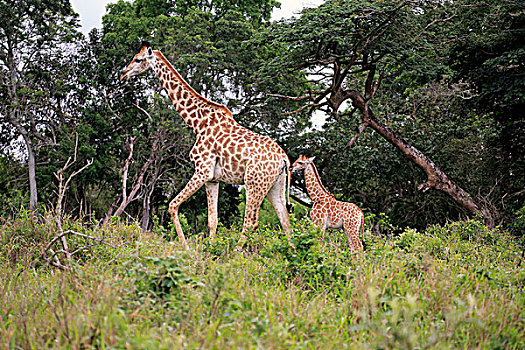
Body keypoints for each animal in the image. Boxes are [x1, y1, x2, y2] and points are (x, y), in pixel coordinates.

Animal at [119, 41, 290, 249]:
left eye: (138, 59)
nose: (123, 74)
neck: (197, 123)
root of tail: (284, 158)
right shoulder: (212, 179)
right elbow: (212, 220)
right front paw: (210, 249)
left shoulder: (202, 171)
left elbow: (172, 205)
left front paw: (186, 248)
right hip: (275, 185)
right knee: (285, 221)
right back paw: (294, 254)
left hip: (254, 183)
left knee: (251, 221)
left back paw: (235, 253)